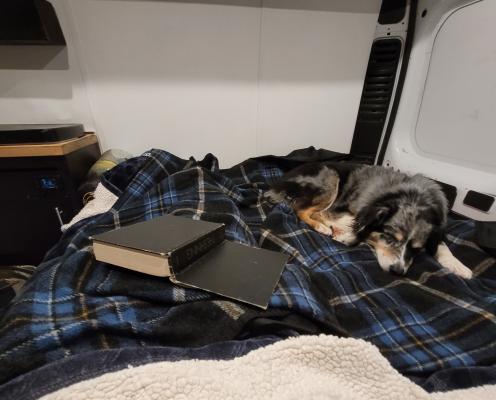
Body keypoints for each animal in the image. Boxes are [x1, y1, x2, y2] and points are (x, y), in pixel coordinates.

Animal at [268, 162, 472, 278]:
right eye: (389, 237)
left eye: (417, 249)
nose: (398, 272)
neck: (414, 197)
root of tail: (280, 179)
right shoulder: (346, 209)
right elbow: (356, 225)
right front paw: (347, 234)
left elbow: (442, 245)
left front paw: (459, 266)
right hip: (331, 179)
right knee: (300, 209)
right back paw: (322, 227)